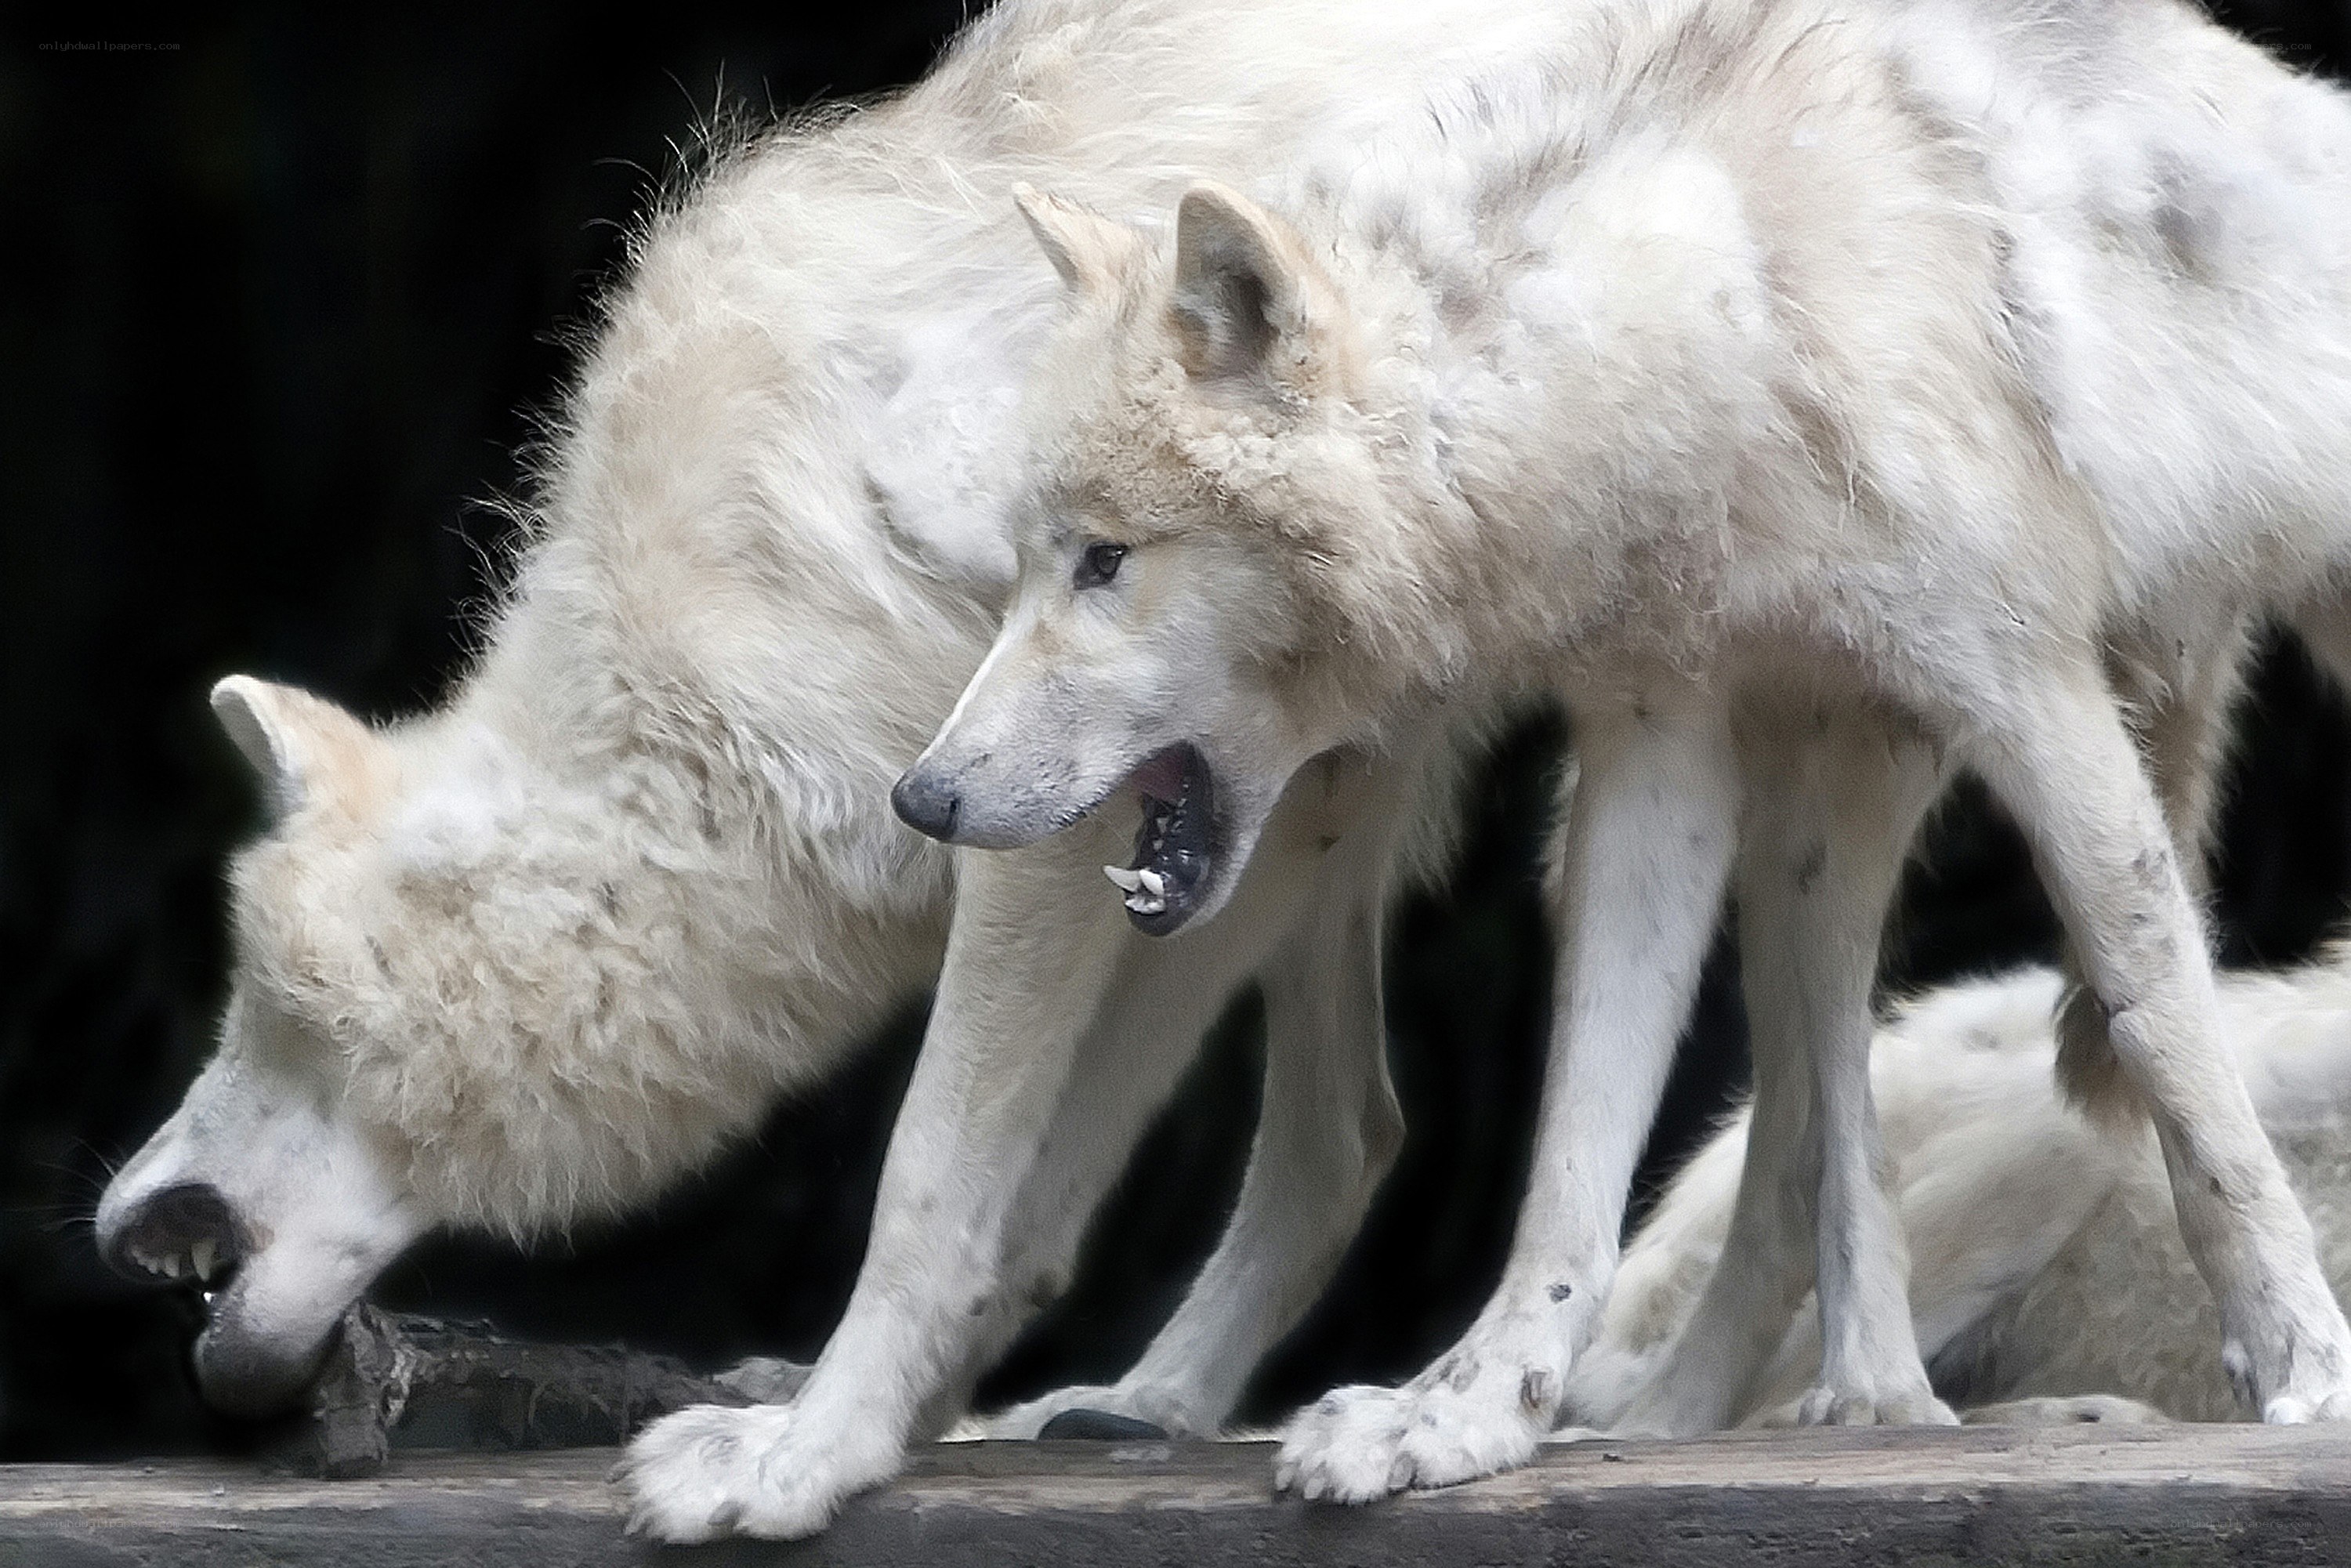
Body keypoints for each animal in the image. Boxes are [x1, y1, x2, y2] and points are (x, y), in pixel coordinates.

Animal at [904, 0, 2351, 1509]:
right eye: (1028, 564)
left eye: (1106, 560)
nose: (922, 797)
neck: (1717, 343)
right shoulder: (1662, 747)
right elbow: (1577, 1157)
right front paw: (1467, 1411)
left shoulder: (2034, 699)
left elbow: (2177, 1046)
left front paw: (2303, 1359)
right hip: (1819, 823)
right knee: (1803, 1144)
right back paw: (1809, 1405)